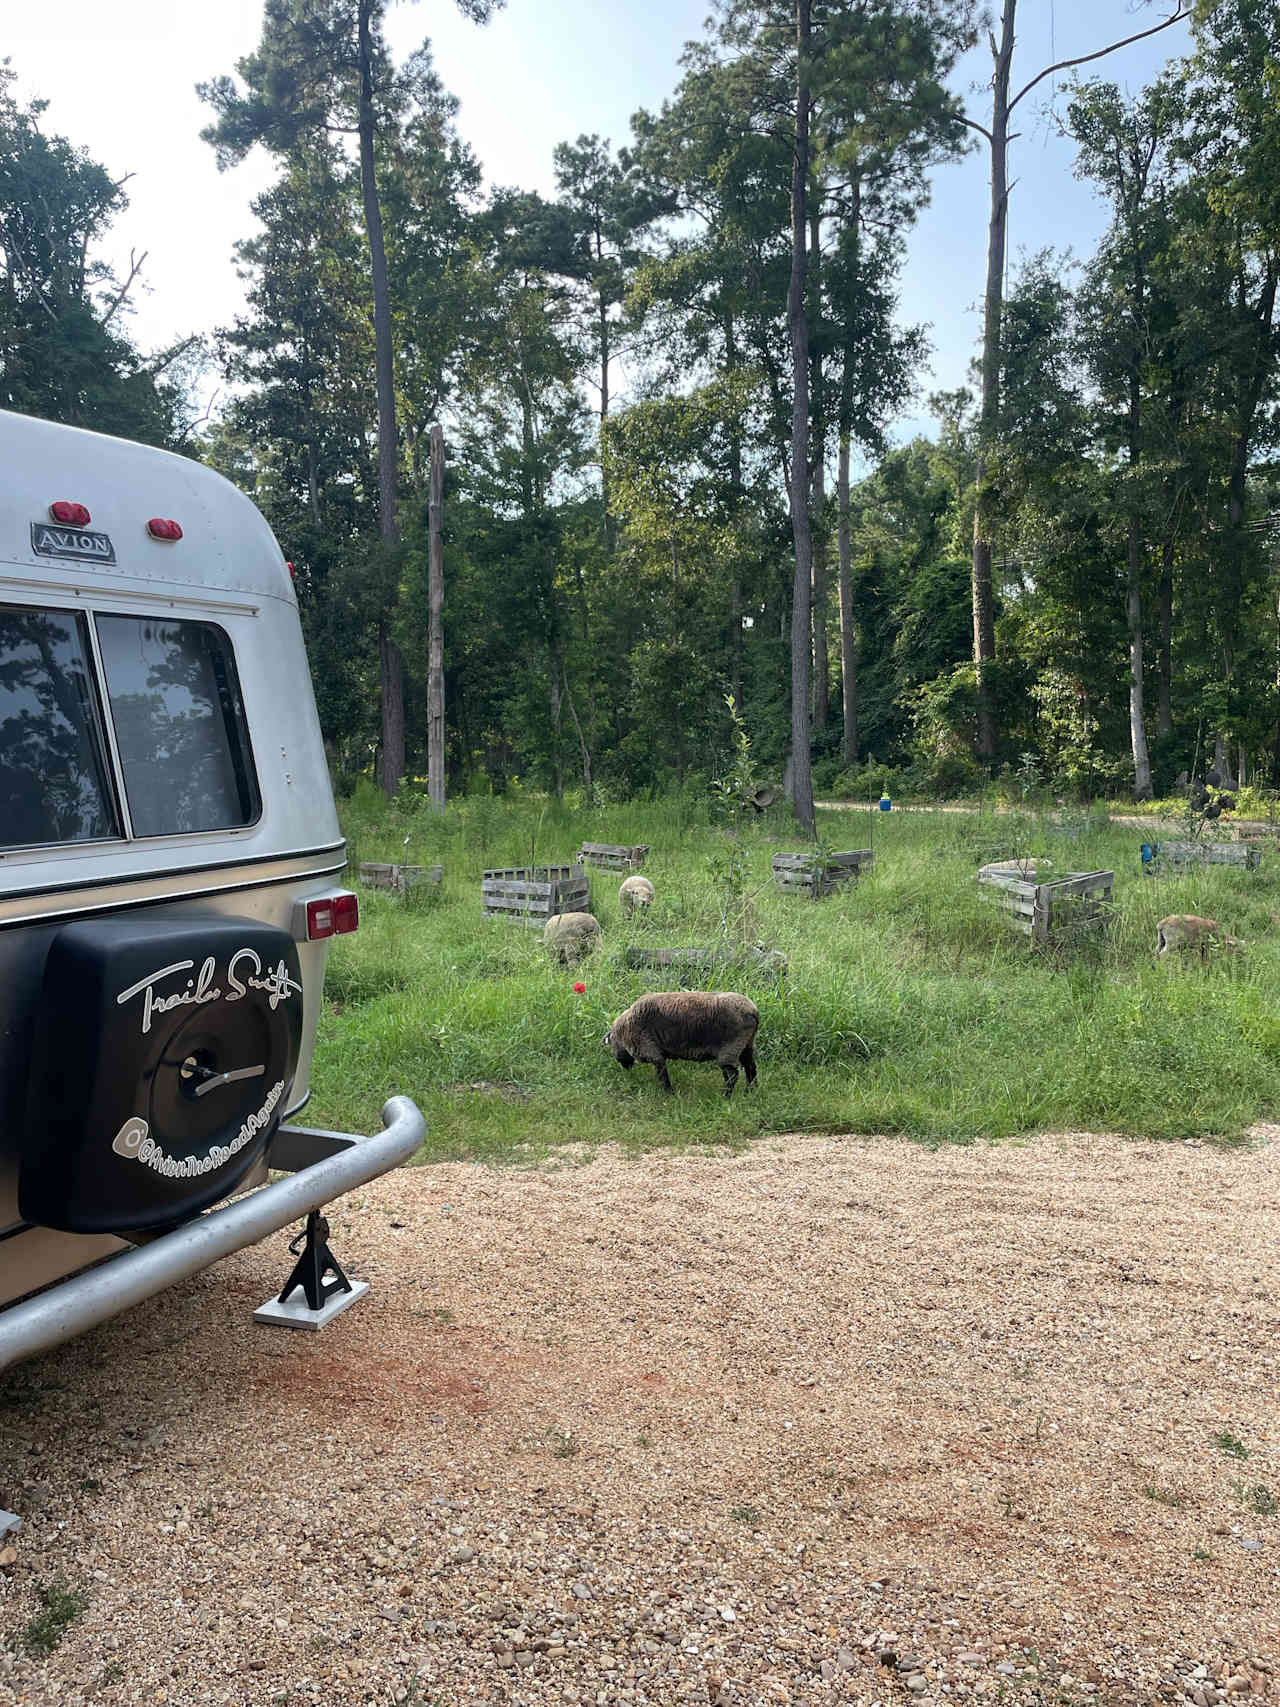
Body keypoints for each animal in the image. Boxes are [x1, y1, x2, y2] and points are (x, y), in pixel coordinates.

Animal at [604, 996, 761, 1099]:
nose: (626, 1068)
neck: (623, 1032)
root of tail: (753, 1011)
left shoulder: (651, 1051)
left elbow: (662, 1075)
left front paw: (669, 1094)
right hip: (746, 1044)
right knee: (750, 1068)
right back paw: (750, 1092)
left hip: (730, 1047)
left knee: (733, 1075)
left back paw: (726, 1096)